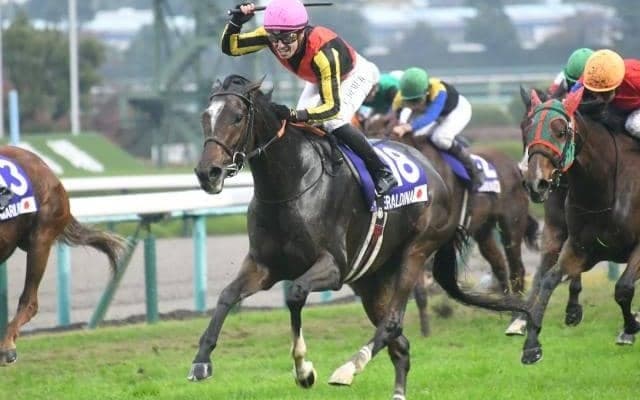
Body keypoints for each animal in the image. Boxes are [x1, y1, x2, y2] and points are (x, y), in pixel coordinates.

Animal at [364, 113, 540, 336]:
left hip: (511, 224)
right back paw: (507, 306)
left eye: (379, 134)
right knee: (499, 265)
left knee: (517, 268)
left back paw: (517, 318)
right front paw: (423, 329)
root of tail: (515, 165)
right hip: (483, 229)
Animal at [518, 87, 640, 364]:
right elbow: (549, 279)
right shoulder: (580, 247)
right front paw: (531, 344)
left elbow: (623, 288)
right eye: (526, 129)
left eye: (561, 131)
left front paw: (630, 328)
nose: (536, 183)